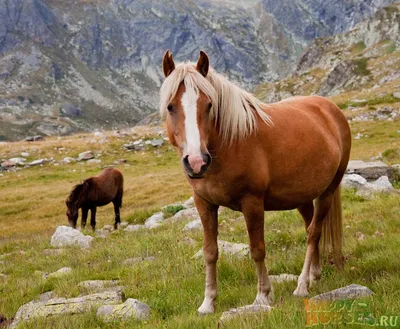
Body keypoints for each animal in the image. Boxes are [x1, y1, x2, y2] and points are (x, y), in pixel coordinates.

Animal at [159, 49, 350, 312]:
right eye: (170, 107)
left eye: (209, 105)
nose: (197, 162)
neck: (230, 143)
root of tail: (331, 109)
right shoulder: (204, 204)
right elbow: (210, 252)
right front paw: (208, 302)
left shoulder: (252, 203)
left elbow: (257, 250)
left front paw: (263, 296)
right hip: (303, 197)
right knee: (312, 228)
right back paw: (314, 276)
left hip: (327, 193)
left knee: (313, 233)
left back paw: (302, 285)